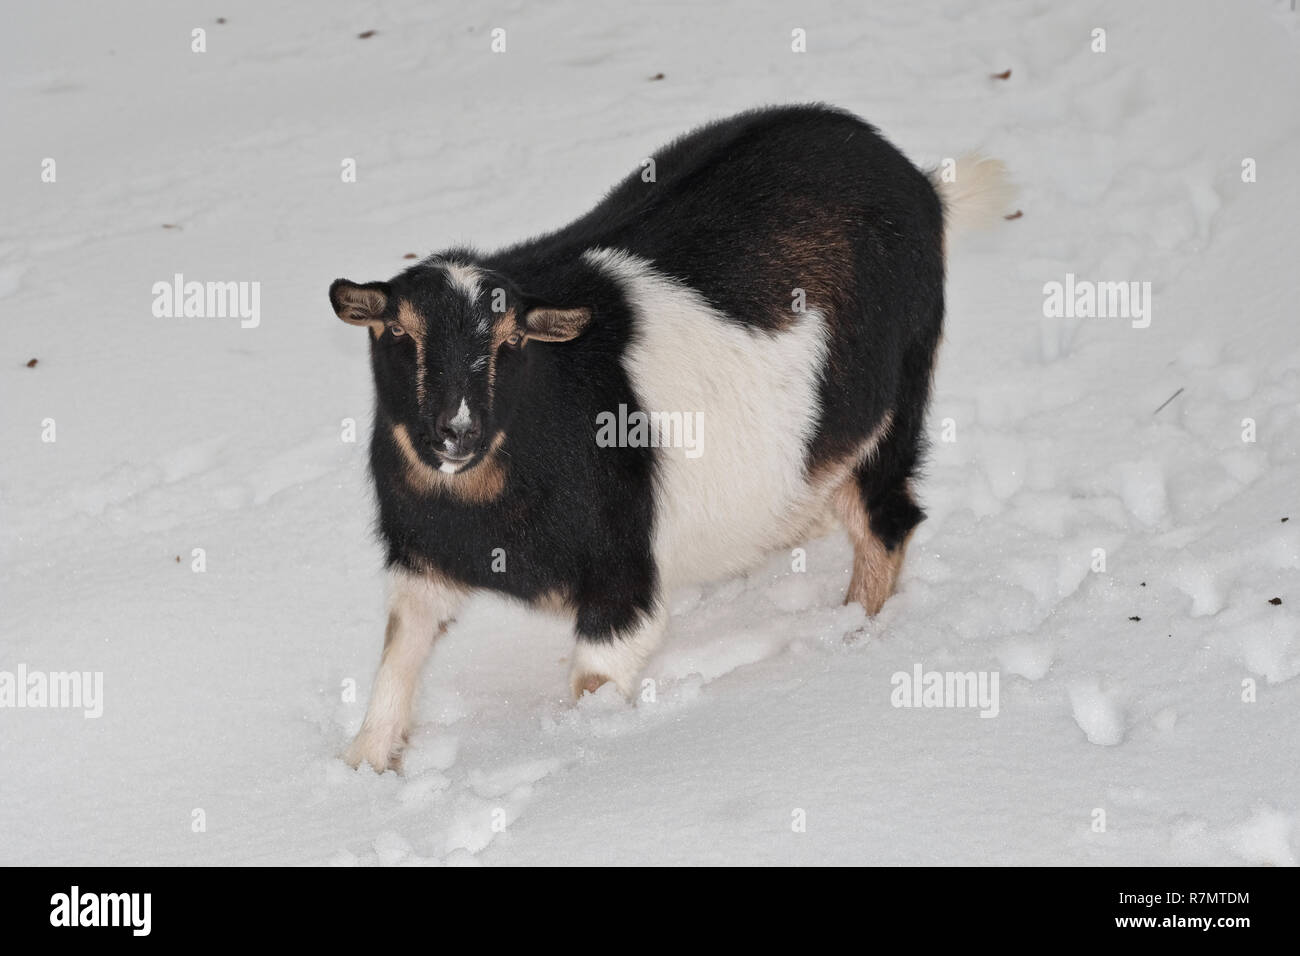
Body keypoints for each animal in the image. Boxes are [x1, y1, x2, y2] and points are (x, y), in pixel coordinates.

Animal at [330, 104, 1012, 771]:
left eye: (512, 341)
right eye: (399, 333)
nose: (457, 431)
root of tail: (923, 185)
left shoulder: (621, 579)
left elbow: (594, 684)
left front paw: (582, 747)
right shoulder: (422, 561)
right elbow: (401, 644)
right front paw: (363, 764)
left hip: (895, 400)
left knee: (888, 519)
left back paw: (852, 633)